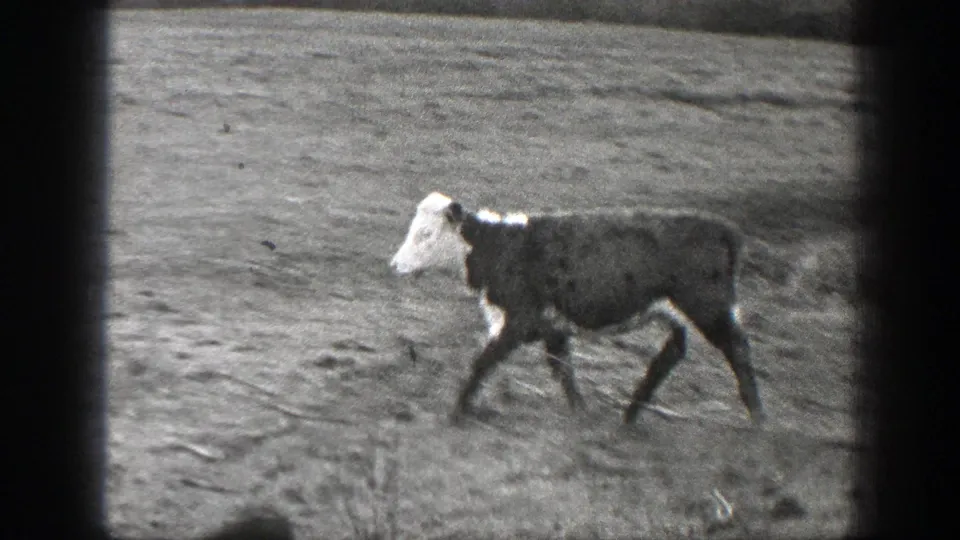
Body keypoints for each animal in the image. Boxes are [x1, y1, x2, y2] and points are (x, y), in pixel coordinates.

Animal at [389, 191, 766, 428]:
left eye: (425, 234)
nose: (395, 265)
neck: (501, 247)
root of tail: (722, 229)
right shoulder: (552, 326)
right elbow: (563, 369)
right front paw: (580, 412)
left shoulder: (519, 320)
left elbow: (483, 361)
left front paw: (456, 410)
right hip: (677, 312)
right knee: (671, 354)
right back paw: (630, 414)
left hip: (708, 306)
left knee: (737, 350)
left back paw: (758, 419)